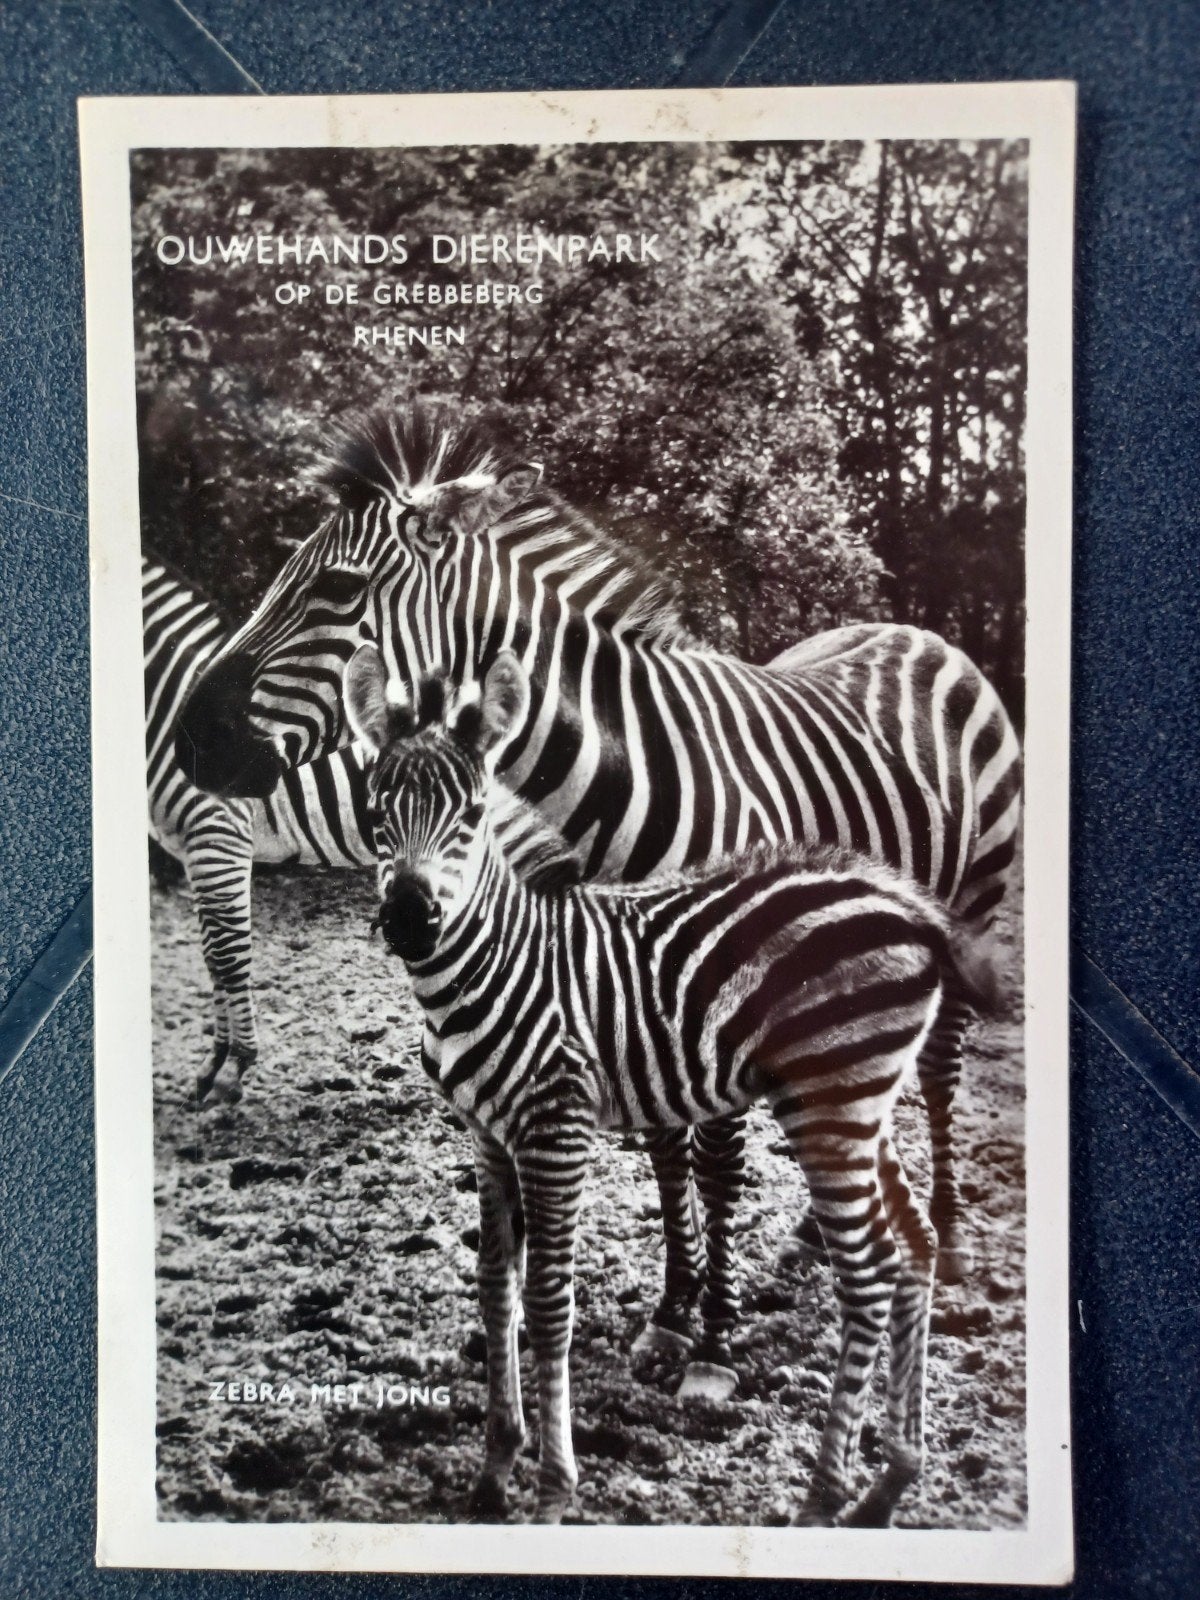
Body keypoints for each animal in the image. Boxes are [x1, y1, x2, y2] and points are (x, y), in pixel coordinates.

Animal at [173, 401, 1022, 1362]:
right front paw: (674, 1306)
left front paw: (716, 1332)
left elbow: (717, 1156)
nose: (187, 738)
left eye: (339, 590)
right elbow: (664, 1149)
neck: (614, 779)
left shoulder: (718, 977)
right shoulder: (637, 986)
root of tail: (920, 631)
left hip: (972, 903)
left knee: (941, 1070)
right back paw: (816, 1226)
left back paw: (948, 1236)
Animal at [345, 643, 997, 1527]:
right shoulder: (488, 1137)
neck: (503, 960)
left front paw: (551, 1490)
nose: (411, 921)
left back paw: (826, 1496)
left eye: (473, 816)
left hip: (829, 1107)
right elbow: (496, 1293)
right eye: (376, 812)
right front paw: (495, 1468)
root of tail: (908, 902)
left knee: (867, 1275)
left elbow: (548, 1302)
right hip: (859, 1104)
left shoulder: (557, 1130)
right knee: (912, 1247)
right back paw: (890, 1480)